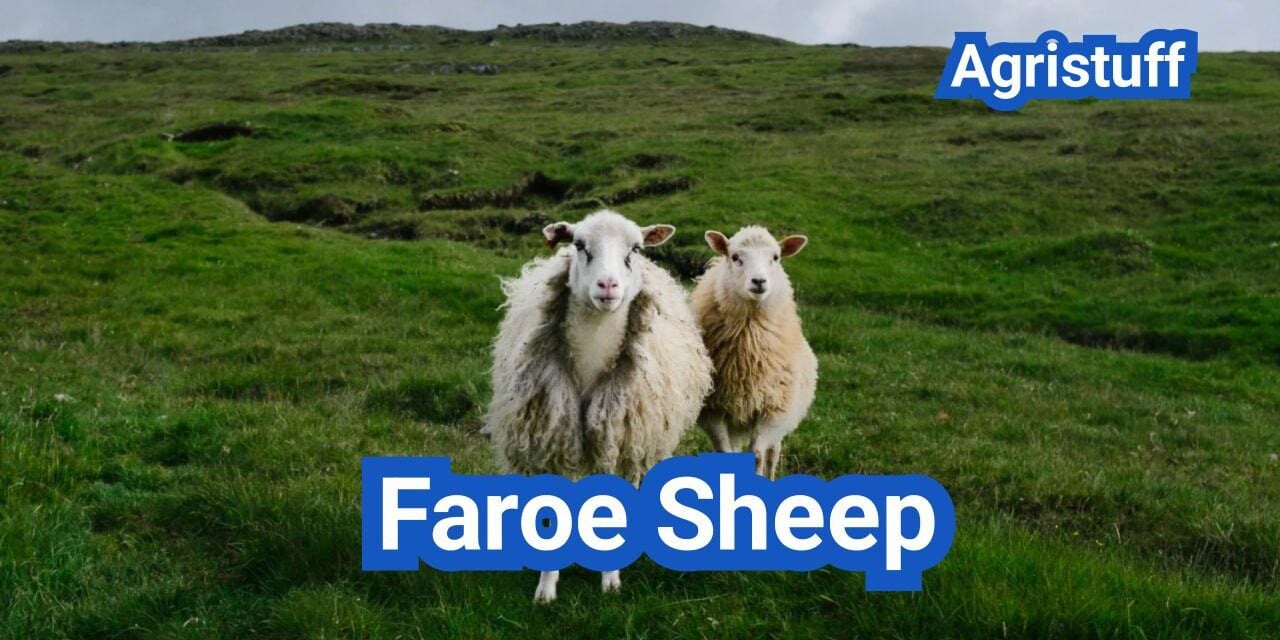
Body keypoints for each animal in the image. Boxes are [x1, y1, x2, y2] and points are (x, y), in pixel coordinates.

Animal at [482, 209, 713, 603]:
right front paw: (546, 589)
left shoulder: (622, 443)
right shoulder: (553, 442)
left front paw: (610, 581)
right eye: (579, 245)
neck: (591, 362)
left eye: (635, 249)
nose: (608, 286)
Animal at [692, 226, 817, 480]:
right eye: (735, 257)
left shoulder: (772, 410)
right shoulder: (713, 411)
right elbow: (726, 454)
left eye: (776, 257)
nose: (759, 281)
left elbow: (758, 456)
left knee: (773, 453)